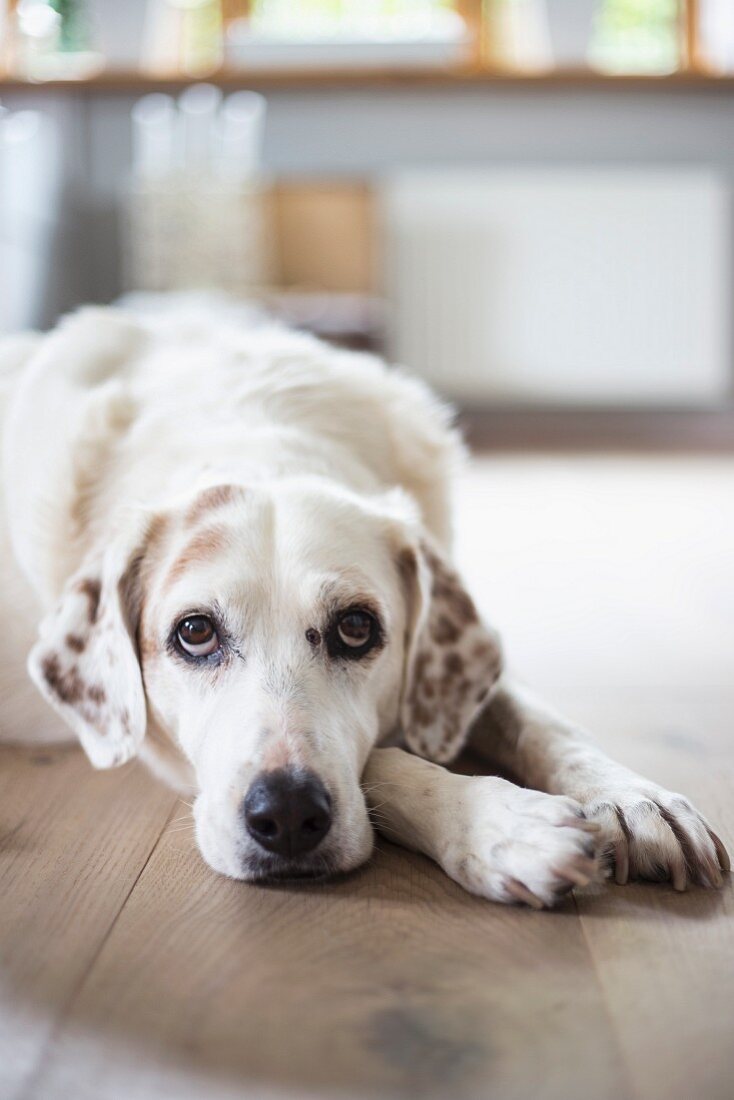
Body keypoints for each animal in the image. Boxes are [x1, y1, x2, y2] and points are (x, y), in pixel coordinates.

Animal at [0, 305, 730, 906]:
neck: (255, 433)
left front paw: (630, 796)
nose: (285, 817)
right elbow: (383, 760)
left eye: (355, 627)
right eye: (195, 632)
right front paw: (502, 826)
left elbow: (541, 720)